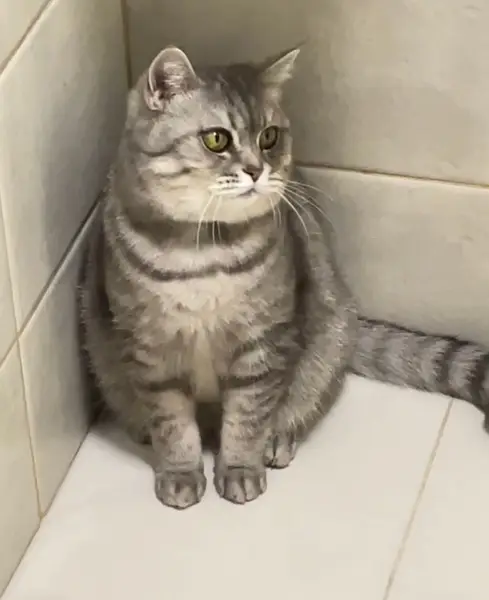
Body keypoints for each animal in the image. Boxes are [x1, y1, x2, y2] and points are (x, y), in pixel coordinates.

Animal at [80, 45, 489, 510]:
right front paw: (180, 472)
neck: (204, 252)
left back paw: (276, 439)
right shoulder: (152, 348)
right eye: (217, 139)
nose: (257, 169)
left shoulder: (263, 341)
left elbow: (247, 416)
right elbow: (173, 423)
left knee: (293, 405)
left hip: (328, 338)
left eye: (270, 137)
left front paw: (240, 468)